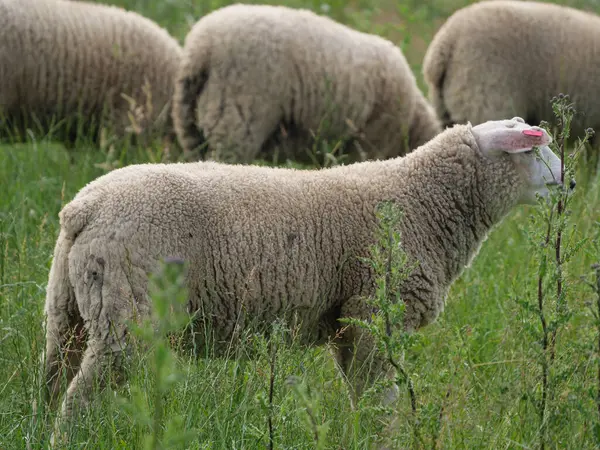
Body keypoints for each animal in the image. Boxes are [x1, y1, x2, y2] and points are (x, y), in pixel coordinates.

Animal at [43, 116, 568, 440]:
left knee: (53, 380)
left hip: (69, 308)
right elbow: (380, 398)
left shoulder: (345, 322)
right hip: (127, 314)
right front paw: (381, 438)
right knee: (78, 399)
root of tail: (85, 207)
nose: (572, 183)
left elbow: (364, 396)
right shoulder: (372, 312)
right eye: (535, 152)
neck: (420, 201)